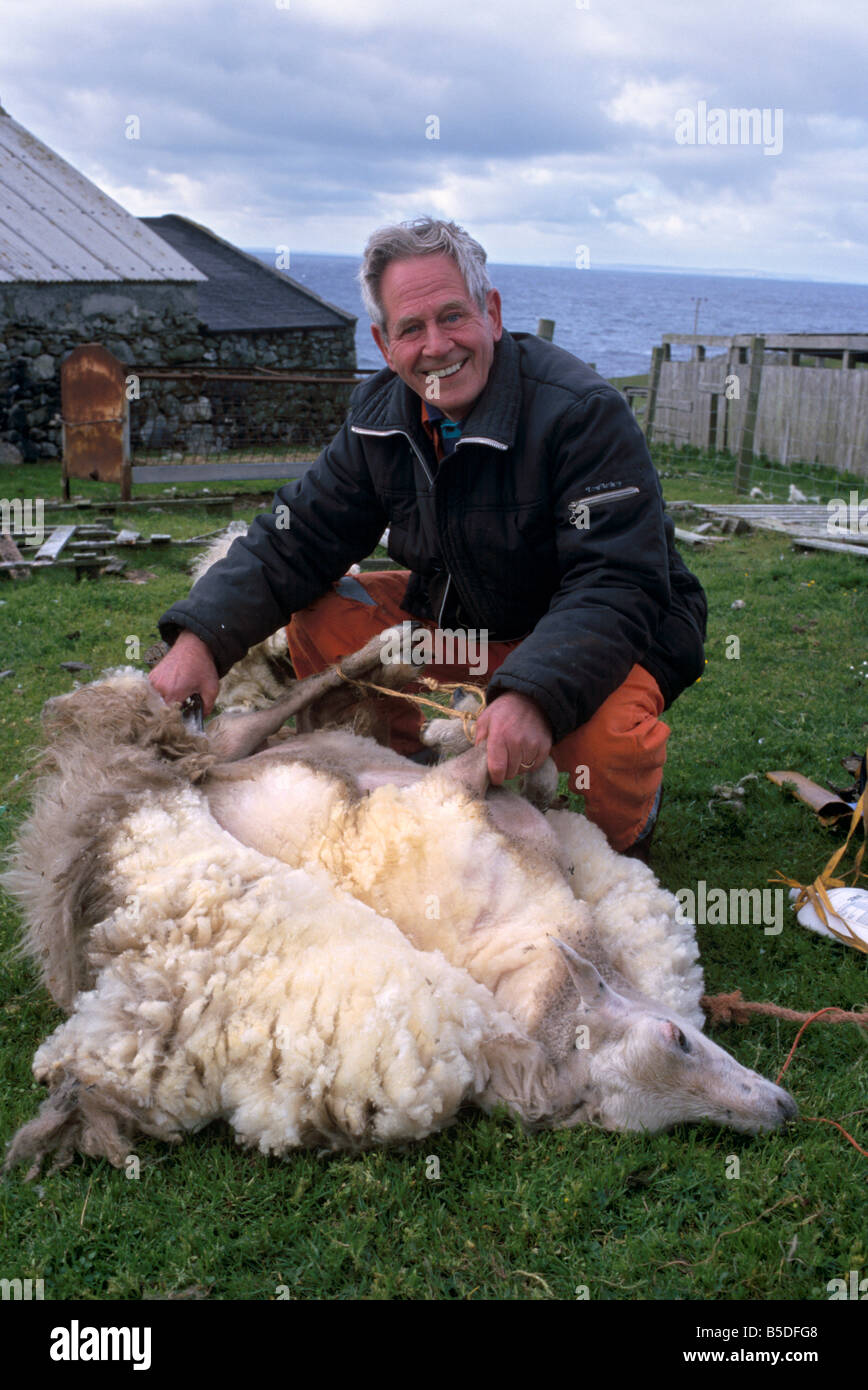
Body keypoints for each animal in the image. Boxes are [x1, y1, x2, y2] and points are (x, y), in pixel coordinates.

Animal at [3, 632, 797, 1175]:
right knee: (262, 712)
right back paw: (380, 650)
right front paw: (473, 725)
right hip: (226, 745)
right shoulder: (458, 794)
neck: (522, 945)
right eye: (678, 1039)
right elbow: (498, 753)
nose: (784, 1111)